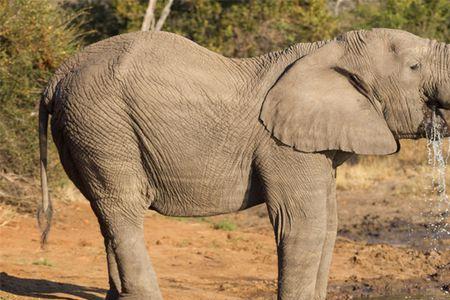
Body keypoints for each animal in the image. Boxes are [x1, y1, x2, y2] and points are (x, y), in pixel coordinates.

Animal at [39, 28, 450, 300]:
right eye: (414, 66)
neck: (327, 51)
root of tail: (57, 76)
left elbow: (330, 225)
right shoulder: (282, 146)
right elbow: (304, 226)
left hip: (85, 131)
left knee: (106, 214)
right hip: (102, 123)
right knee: (123, 208)